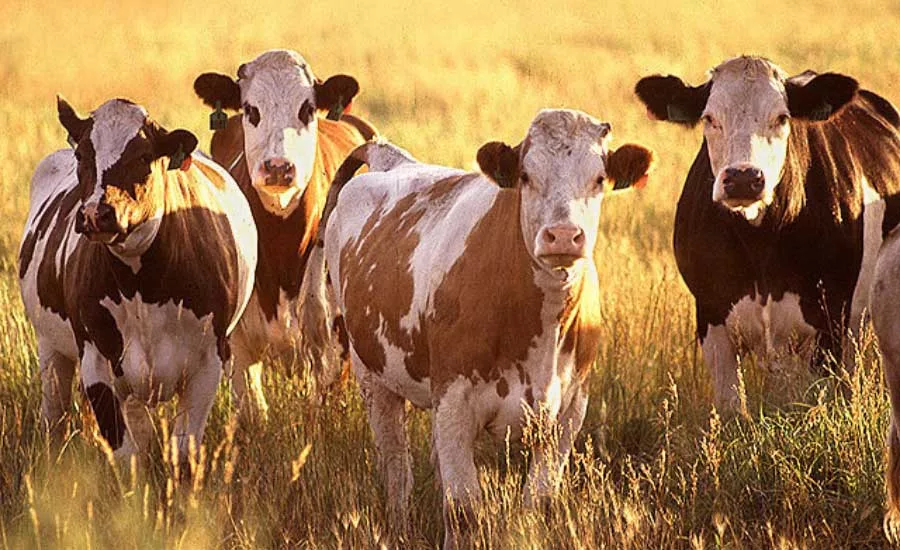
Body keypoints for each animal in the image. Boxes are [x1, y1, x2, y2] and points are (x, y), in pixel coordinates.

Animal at [18, 97, 257, 466]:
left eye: (144, 156)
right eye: (83, 154)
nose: (96, 213)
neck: (142, 286)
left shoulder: (209, 362)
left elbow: (183, 451)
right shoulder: (97, 361)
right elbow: (127, 453)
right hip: (51, 348)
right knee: (54, 415)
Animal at [314, 110, 654, 548]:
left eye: (598, 178)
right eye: (526, 175)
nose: (563, 236)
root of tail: (394, 160)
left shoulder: (569, 412)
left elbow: (537, 503)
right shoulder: (454, 402)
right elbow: (464, 510)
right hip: (373, 376)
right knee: (396, 467)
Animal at [634, 56, 900, 415]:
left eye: (782, 117)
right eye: (709, 118)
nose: (743, 178)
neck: (759, 243)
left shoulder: (831, 319)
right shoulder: (710, 316)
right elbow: (731, 408)